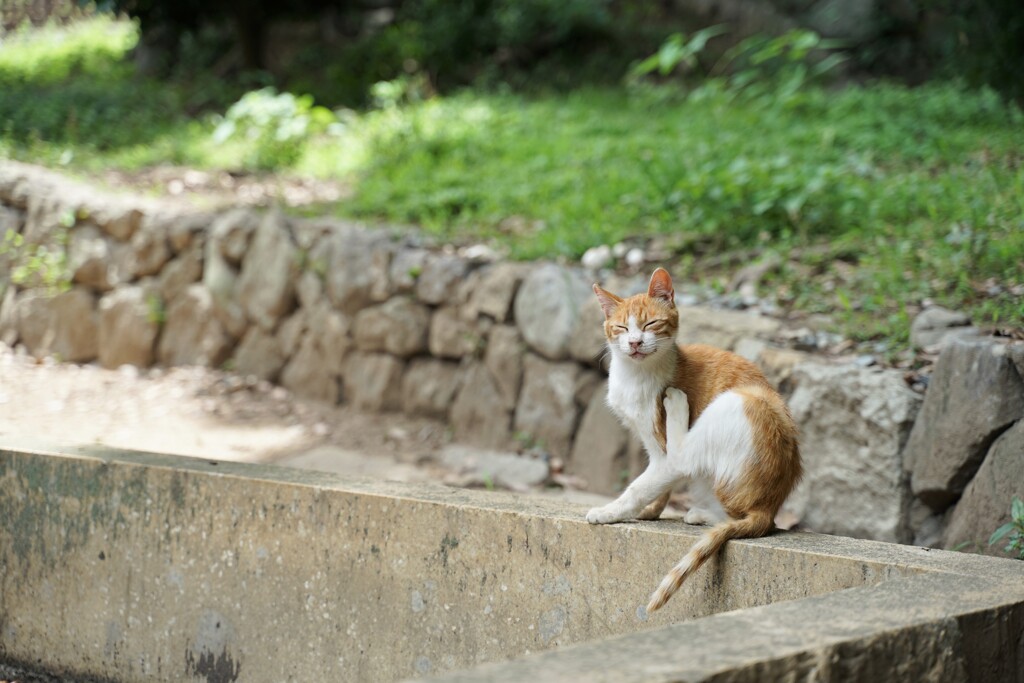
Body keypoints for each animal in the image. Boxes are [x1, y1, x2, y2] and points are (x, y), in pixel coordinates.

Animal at [585, 266, 798, 614]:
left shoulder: (663, 454)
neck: (636, 376)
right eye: (621, 327)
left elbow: (639, 486)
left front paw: (610, 511)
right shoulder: (652, 446)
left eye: (650, 324)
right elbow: (656, 484)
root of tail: (768, 508)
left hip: (738, 401)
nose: (634, 342)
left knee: (685, 457)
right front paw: (650, 510)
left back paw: (677, 403)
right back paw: (702, 515)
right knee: (732, 514)